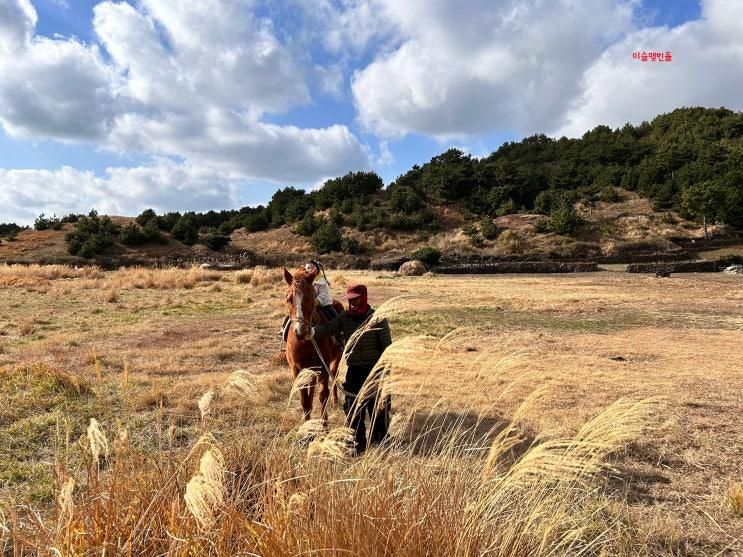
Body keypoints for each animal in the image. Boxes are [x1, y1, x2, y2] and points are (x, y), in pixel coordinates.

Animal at [284, 266, 344, 422]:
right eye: (288, 299)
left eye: (311, 298)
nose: (301, 331)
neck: (306, 343)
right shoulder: (297, 370)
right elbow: (305, 401)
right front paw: (306, 426)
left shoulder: (323, 368)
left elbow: (323, 396)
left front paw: (324, 425)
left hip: (336, 357)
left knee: (334, 373)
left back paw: (335, 400)